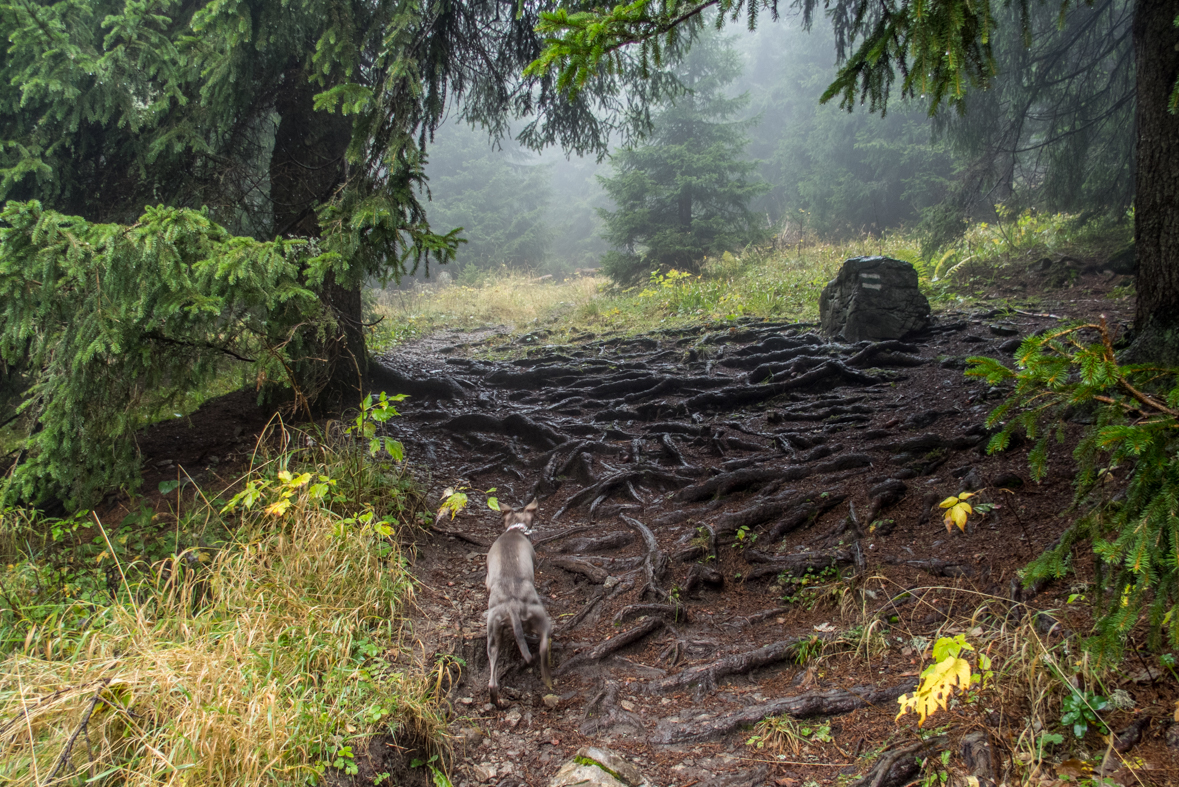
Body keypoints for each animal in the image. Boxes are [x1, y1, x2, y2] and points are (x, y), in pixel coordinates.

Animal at [483, 501, 551, 711]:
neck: (515, 530)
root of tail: (512, 605)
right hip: (541, 619)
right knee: (543, 647)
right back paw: (547, 677)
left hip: (493, 636)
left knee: (492, 683)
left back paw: (497, 702)